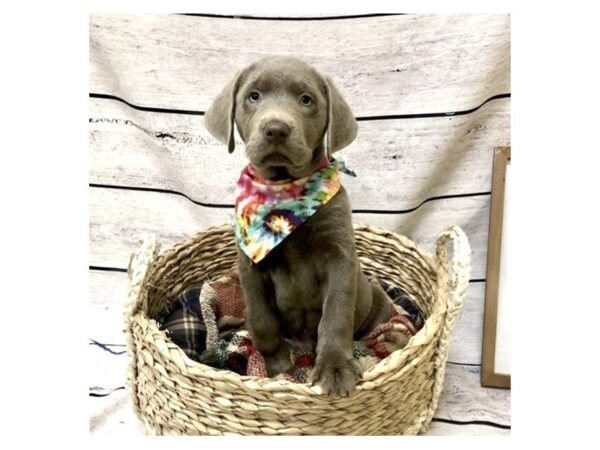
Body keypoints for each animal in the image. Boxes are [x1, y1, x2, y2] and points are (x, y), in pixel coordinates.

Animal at [206, 54, 392, 396]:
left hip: (378, 300)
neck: (285, 192)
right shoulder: (250, 265)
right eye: (254, 96)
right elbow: (263, 321)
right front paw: (278, 365)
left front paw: (334, 367)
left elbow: (335, 314)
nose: (276, 129)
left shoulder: (340, 257)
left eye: (307, 100)